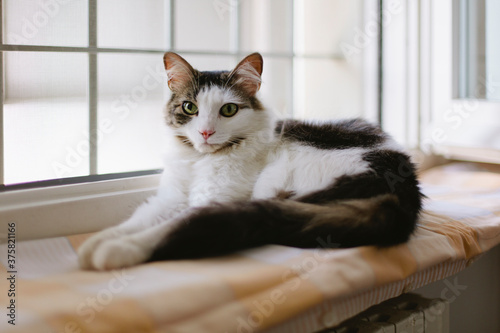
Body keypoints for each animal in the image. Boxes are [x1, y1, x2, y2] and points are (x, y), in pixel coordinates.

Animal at [78, 51, 422, 270]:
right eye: (190, 107)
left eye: (228, 110)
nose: (205, 132)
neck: (199, 162)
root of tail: (403, 192)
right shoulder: (170, 198)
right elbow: (135, 221)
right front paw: (94, 244)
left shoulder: (212, 199)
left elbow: (168, 226)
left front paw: (113, 249)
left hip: (275, 179)